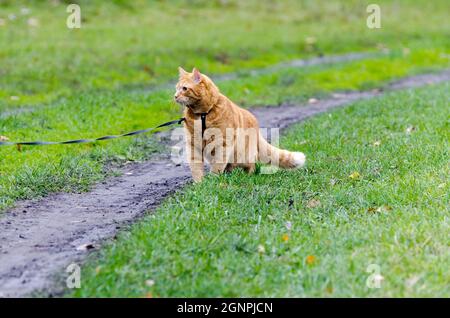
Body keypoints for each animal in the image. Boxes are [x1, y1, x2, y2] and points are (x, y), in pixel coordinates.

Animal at [174, 67, 304, 181]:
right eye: (176, 88)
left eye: (184, 88)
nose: (175, 96)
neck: (202, 115)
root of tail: (256, 126)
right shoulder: (193, 145)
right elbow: (196, 167)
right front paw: (199, 184)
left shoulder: (223, 143)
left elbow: (217, 165)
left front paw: (213, 180)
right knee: (230, 167)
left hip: (243, 156)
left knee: (251, 165)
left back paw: (247, 175)